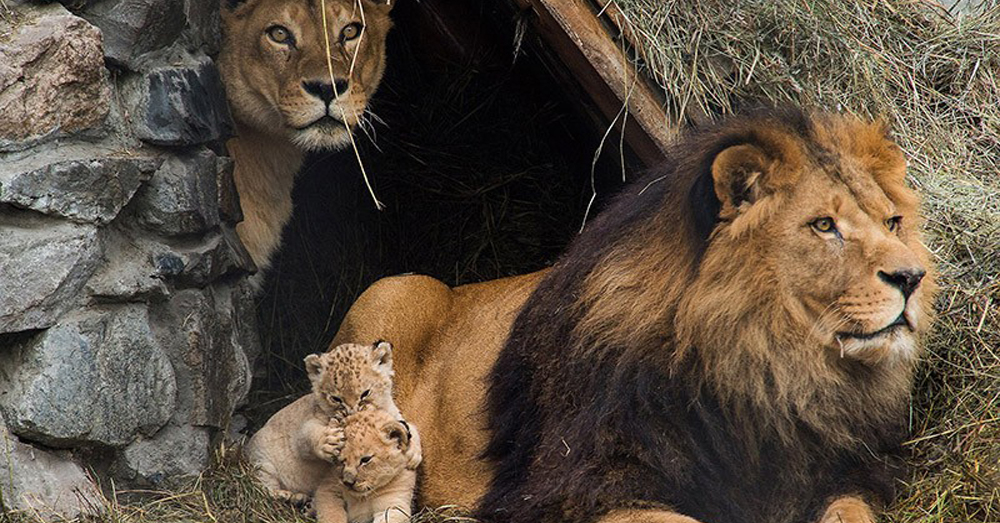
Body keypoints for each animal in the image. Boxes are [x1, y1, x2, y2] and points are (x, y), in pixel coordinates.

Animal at [330, 110, 936, 523]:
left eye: (893, 221)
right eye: (824, 226)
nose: (912, 277)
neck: (765, 371)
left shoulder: (840, 475)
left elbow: (851, 513)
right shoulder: (577, 488)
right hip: (393, 289)